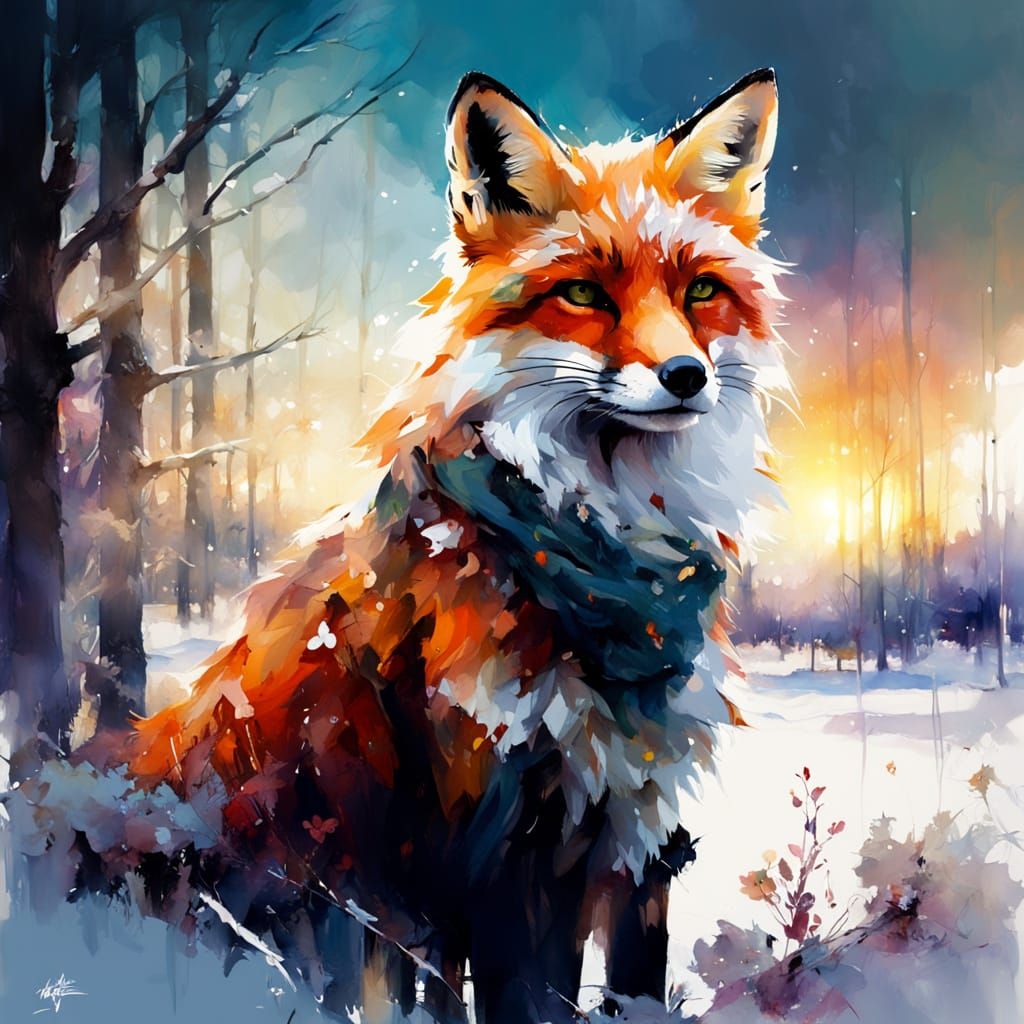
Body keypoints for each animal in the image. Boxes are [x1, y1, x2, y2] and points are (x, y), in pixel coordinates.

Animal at [119, 69, 788, 1023]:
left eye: (700, 292)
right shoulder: (500, 849)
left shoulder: (640, 832)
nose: (686, 376)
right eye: (584, 294)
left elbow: (635, 988)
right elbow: (528, 1001)